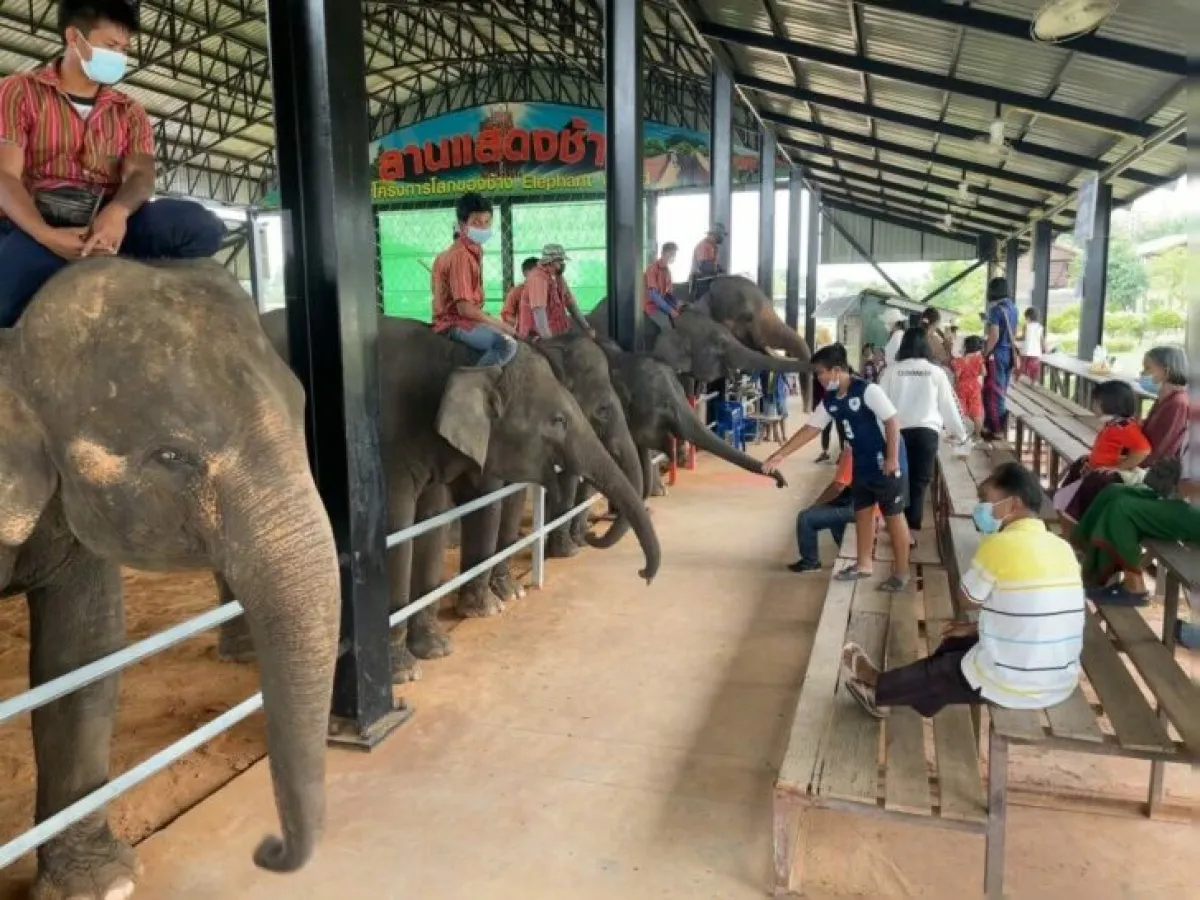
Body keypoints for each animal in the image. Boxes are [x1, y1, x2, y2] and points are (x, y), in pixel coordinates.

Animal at [220, 312, 662, 681]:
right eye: (559, 421)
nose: (642, 576)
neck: (462, 359)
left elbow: (432, 519)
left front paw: (440, 645)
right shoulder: (389, 447)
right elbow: (398, 529)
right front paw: (405, 671)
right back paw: (242, 653)